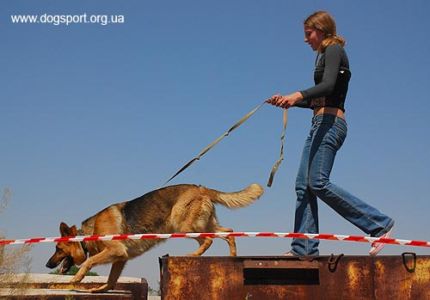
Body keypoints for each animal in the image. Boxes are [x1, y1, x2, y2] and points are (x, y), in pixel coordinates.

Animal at [46, 184, 262, 292]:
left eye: (58, 249)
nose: (48, 265)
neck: (87, 235)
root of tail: (201, 188)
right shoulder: (120, 258)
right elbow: (111, 280)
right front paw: (99, 290)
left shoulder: (115, 251)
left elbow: (88, 262)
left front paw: (77, 278)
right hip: (205, 225)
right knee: (229, 233)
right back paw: (232, 257)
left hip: (184, 225)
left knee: (208, 240)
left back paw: (193, 255)